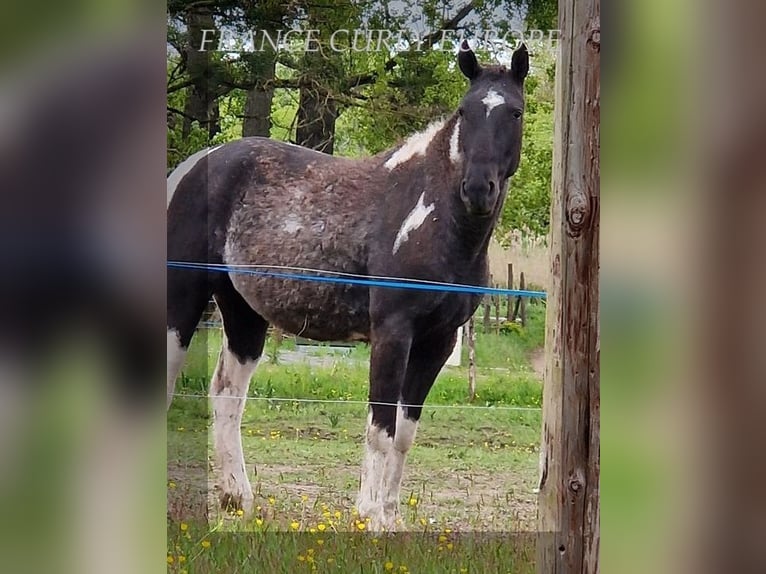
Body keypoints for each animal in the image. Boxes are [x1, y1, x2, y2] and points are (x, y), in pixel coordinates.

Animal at [166, 42, 528, 532]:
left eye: (515, 112)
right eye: (465, 110)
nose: (477, 188)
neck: (432, 217)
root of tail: (191, 167)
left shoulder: (438, 341)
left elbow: (405, 434)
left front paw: (392, 517)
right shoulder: (393, 333)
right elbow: (380, 428)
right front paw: (369, 517)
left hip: (243, 313)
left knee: (226, 395)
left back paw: (238, 499)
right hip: (181, 298)